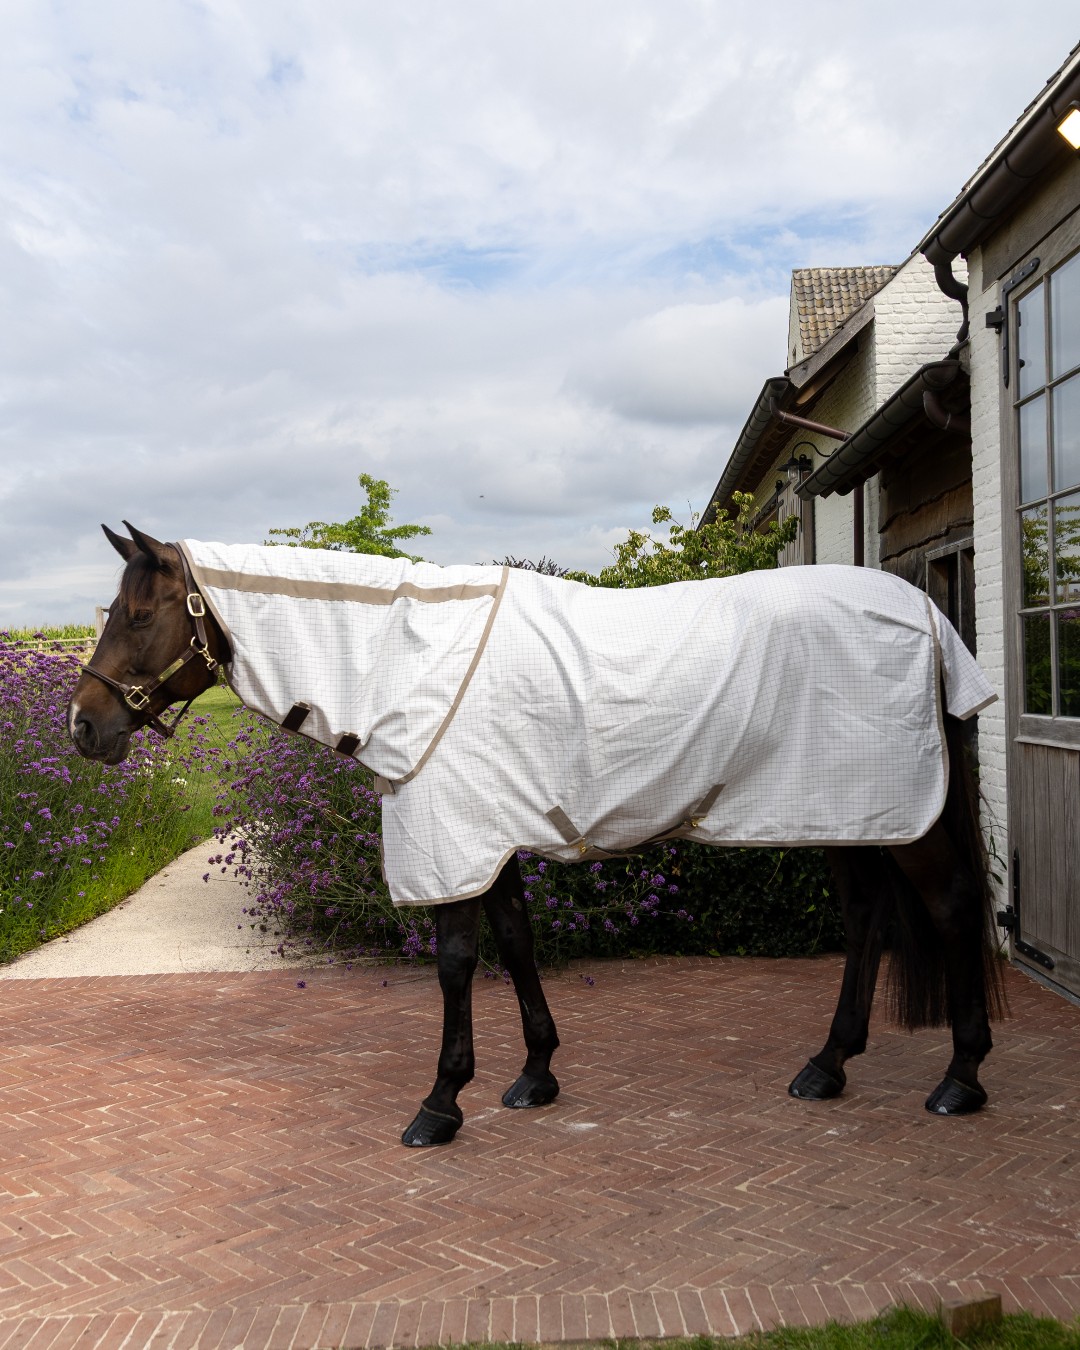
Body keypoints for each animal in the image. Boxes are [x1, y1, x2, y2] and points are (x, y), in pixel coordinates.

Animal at [67, 523, 1006, 1147]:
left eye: (142, 613)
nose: (83, 726)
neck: (406, 659)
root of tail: (925, 614)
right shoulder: (487, 835)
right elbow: (516, 942)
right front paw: (535, 1074)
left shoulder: (450, 833)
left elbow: (455, 963)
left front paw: (440, 1103)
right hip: (847, 811)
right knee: (867, 920)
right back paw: (828, 1065)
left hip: (900, 817)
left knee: (954, 907)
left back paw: (961, 1078)